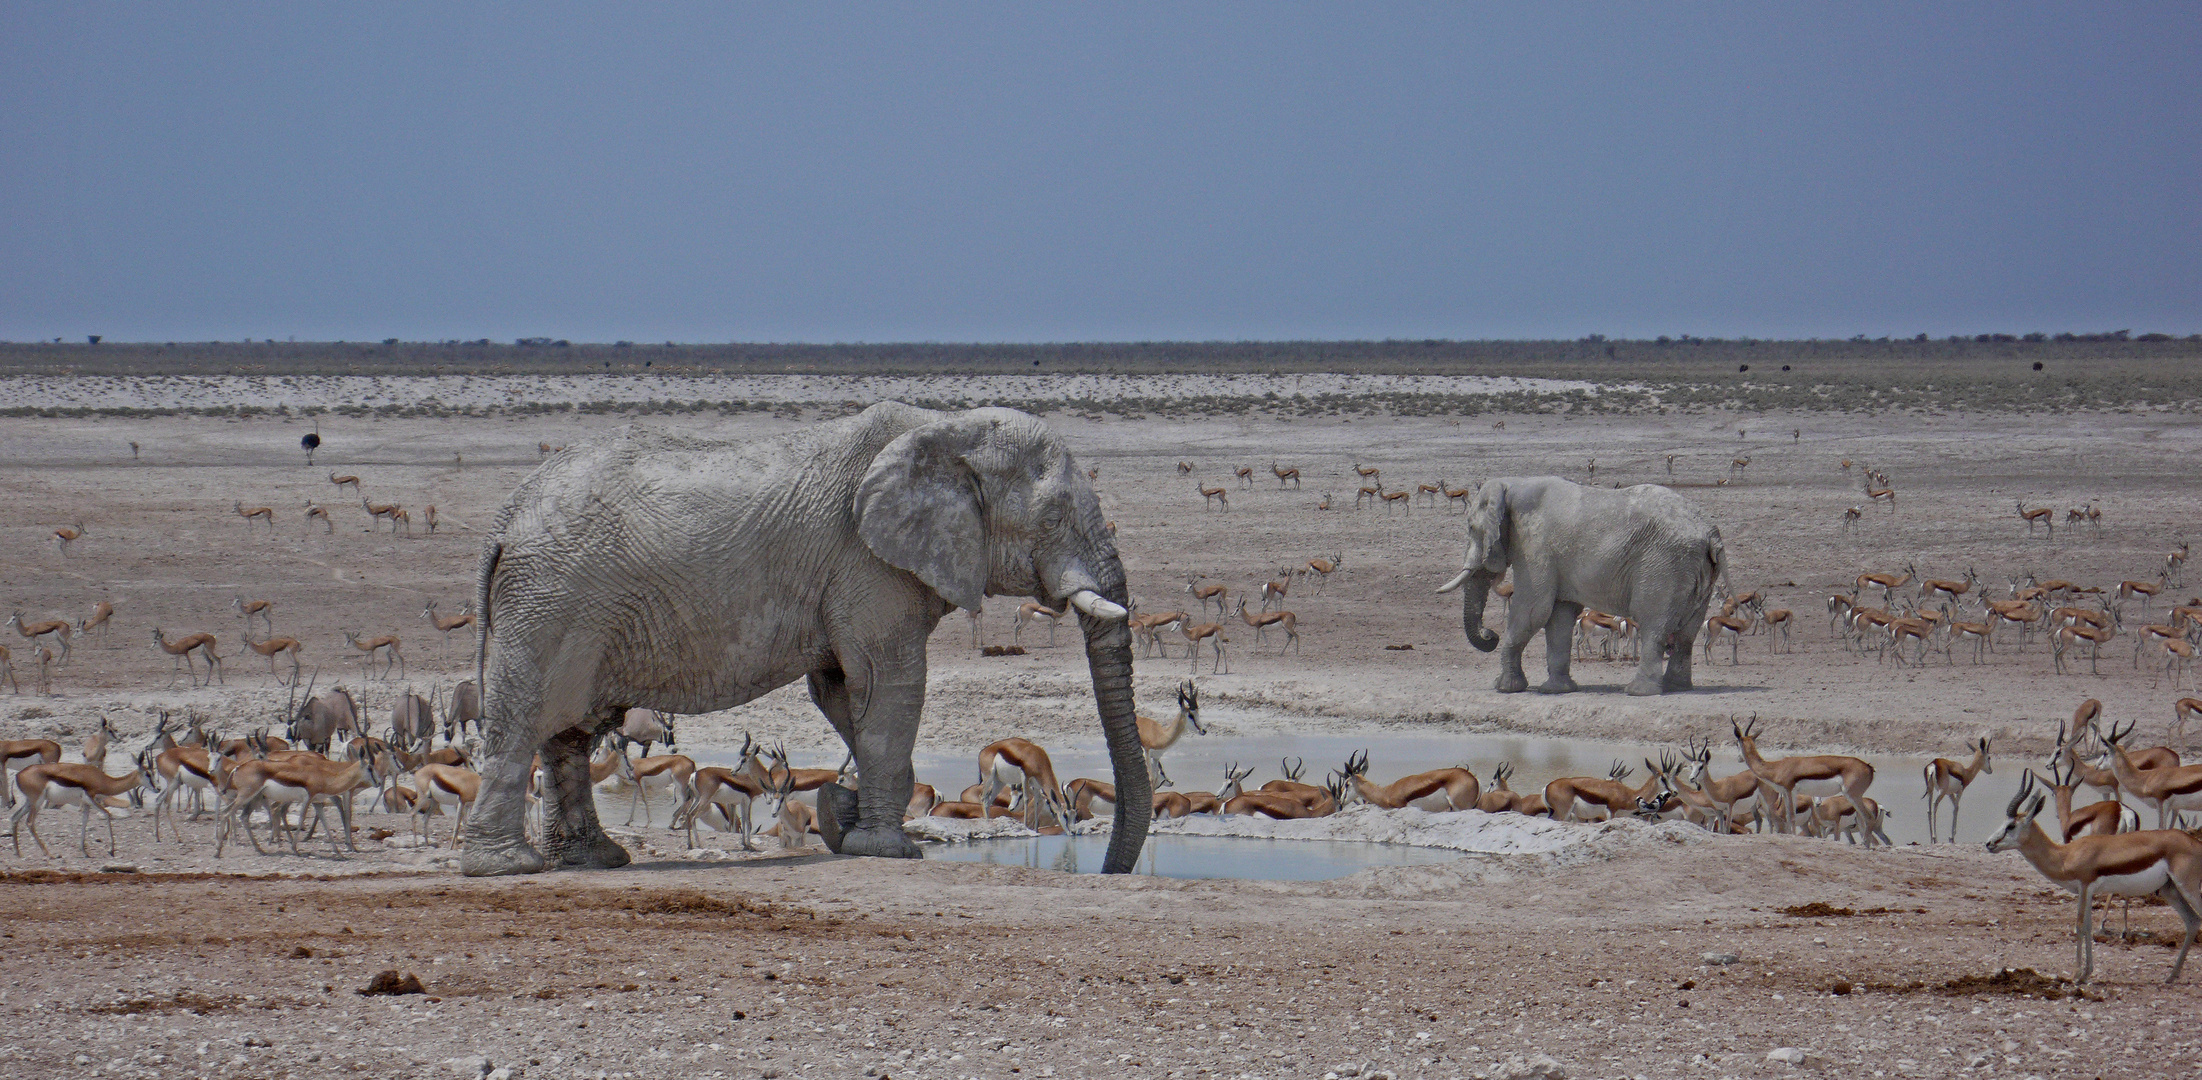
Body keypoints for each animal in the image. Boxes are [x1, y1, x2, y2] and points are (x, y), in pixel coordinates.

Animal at [464, 405, 1153, 877]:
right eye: (1054, 517)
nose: (1106, 872)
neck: (944, 428)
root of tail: (506, 515)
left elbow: (844, 692)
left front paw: (844, 822)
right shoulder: (869, 566)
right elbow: (889, 686)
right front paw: (887, 850)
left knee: (569, 734)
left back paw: (594, 860)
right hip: (552, 601)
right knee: (528, 720)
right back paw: (507, 868)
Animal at [1435, 476, 1726, 696]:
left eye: (1471, 528)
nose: (1489, 635)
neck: (1511, 484)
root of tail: (1710, 533)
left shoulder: (1535, 546)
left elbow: (1531, 611)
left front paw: (1505, 688)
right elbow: (1559, 616)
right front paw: (1556, 690)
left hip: (1664, 567)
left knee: (1654, 623)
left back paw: (1638, 691)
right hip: (1695, 570)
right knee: (1687, 633)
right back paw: (1676, 686)